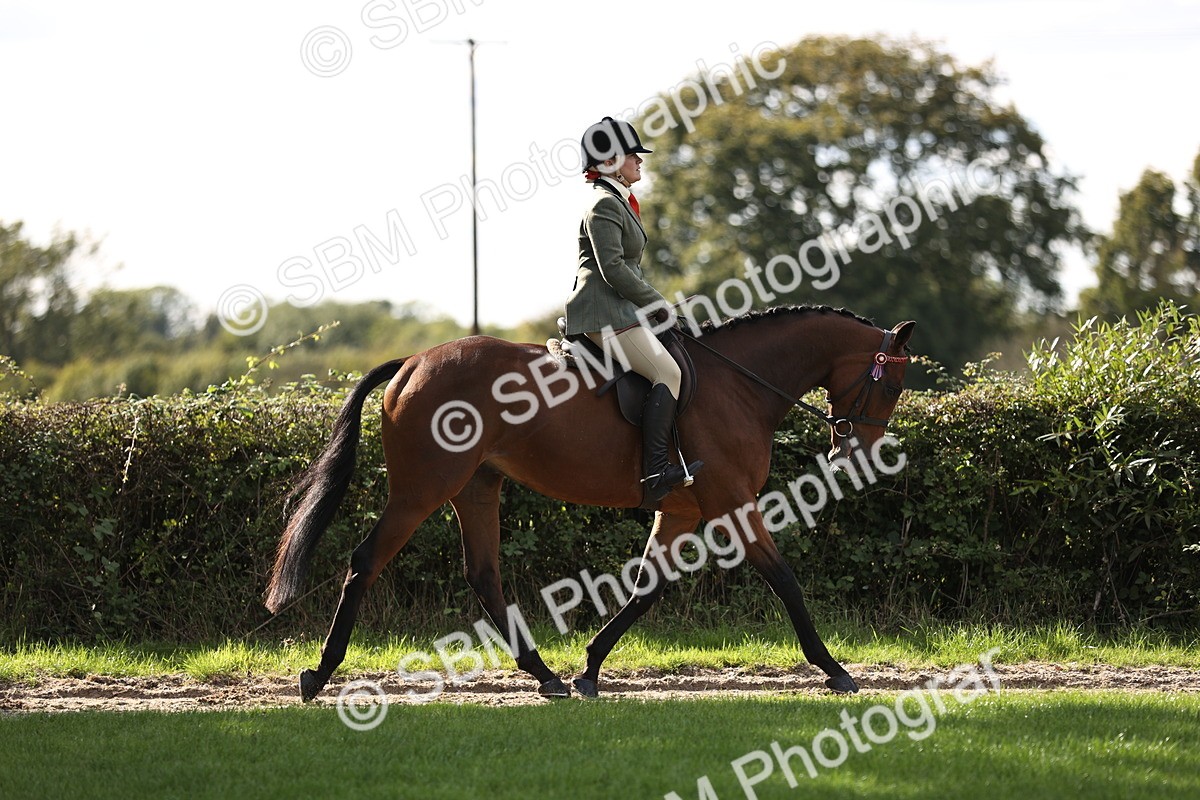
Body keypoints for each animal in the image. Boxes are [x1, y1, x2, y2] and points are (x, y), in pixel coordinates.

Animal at [265, 305, 915, 700]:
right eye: (890, 384)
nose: (858, 453)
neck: (741, 385)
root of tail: (413, 361)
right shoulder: (732, 503)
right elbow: (785, 580)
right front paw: (836, 671)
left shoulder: (682, 511)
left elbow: (647, 588)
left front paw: (590, 668)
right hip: (423, 489)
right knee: (366, 562)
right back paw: (318, 673)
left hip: (477, 487)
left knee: (483, 574)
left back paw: (546, 675)